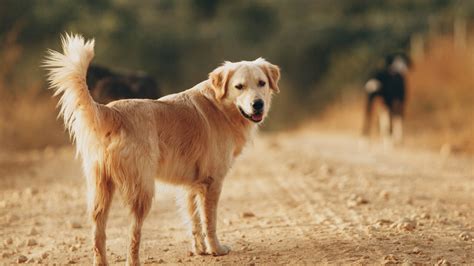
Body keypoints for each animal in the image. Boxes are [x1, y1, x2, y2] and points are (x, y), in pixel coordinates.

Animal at [43, 34, 280, 264]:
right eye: (239, 87)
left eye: (261, 83)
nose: (258, 104)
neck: (220, 106)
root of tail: (113, 111)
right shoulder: (212, 182)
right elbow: (209, 221)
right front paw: (216, 249)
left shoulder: (191, 185)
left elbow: (194, 221)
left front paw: (200, 250)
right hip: (142, 191)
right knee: (133, 236)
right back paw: (134, 261)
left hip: (101, 189)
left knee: (98, 235)